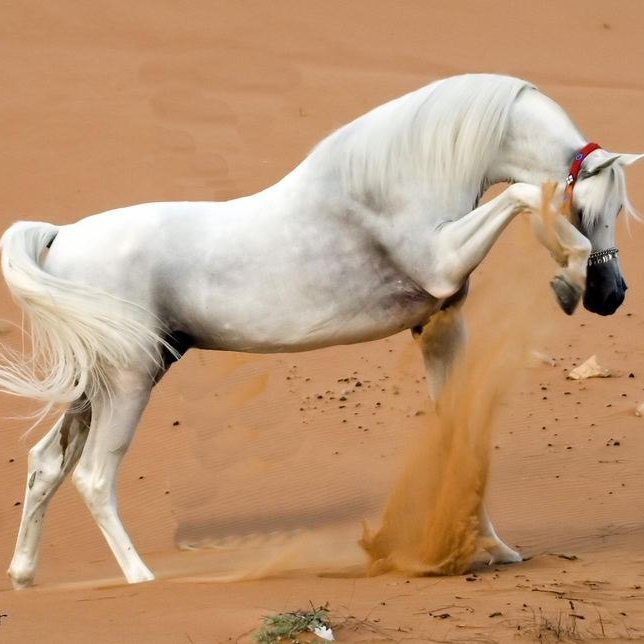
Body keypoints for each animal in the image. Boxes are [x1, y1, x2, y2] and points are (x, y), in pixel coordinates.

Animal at [0, 73, 640, 588]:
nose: (610, 296)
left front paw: (497, 550)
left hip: (99, 387)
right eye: (589, 210)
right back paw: (141, 578)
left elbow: (461, 436)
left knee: (46, 464)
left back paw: (25, 575)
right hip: (131, 382)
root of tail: (61, 237)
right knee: (92, 477)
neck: (403, 176)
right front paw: (565, 273)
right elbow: (526, 194)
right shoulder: (443, 262)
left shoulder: (439, 325)